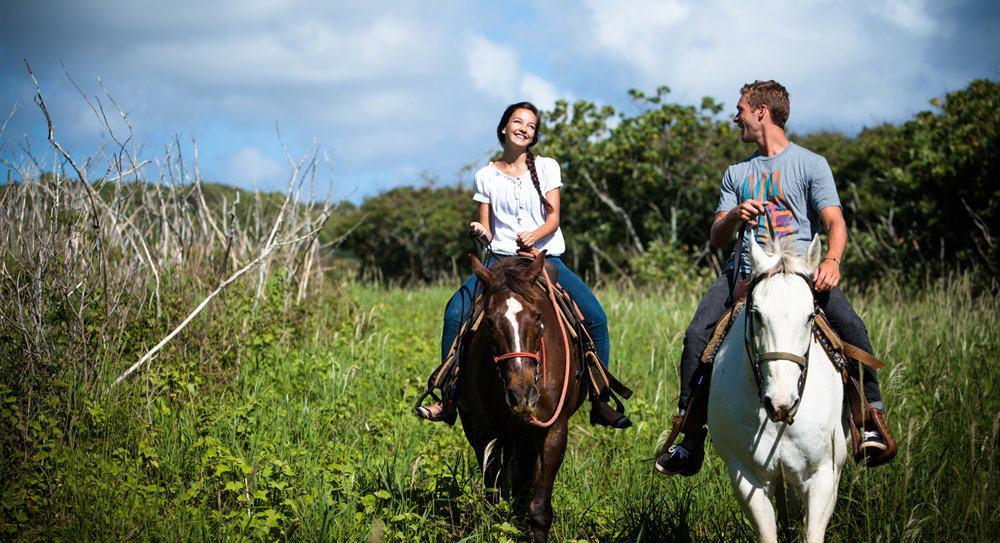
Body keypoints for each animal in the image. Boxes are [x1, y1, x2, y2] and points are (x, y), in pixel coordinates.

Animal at [458, 253, 584, 540]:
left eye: (538, 318)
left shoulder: (554, 428)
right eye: (490, 322)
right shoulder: (486, 431)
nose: (522, 396)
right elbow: (494, 496)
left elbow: (539, 509)